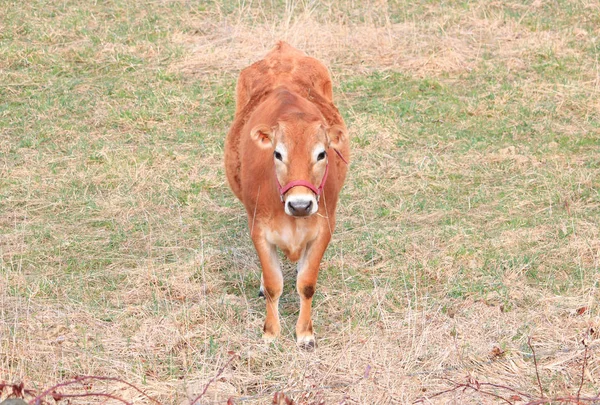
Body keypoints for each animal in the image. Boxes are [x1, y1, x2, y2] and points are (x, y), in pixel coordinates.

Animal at [224, 41, 346, 350]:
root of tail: (283, 49)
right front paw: (270, 332)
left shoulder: (324, 228)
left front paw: (305, 333)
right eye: (278, 153)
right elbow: (272, 284)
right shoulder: (258, 229)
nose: (300, 204)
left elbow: (307, 283)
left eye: (322, 153)